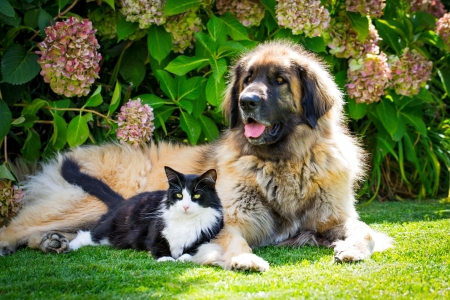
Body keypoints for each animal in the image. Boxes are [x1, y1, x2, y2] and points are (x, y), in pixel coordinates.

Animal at [61, 158, 223, 262]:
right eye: (179, 195)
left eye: (196, 195)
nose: (185, 206)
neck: (185, 221)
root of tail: (124, 201)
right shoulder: (154, 232)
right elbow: (158, 245)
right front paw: (166, 259)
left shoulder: (206, 236)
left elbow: (193, 250)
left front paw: (183, 258)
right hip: (110, 230)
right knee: (86, 234)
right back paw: (67, 247)